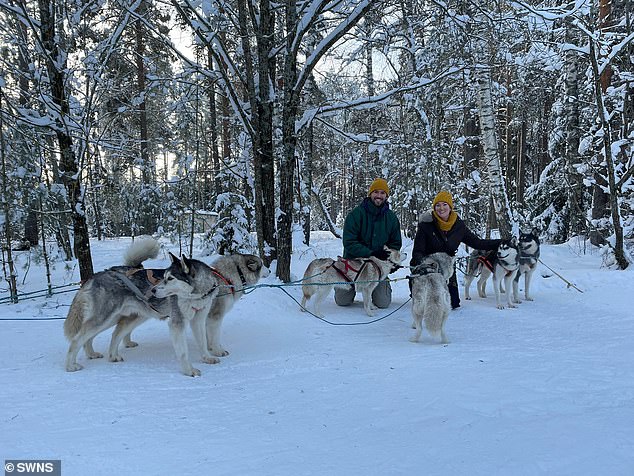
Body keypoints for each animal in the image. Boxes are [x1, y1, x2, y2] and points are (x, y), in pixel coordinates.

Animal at [63, 240, 218, 378]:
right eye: (164, 277)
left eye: (170, 278)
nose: (153, 290)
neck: (196, 295)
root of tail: (95, 276)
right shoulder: (177, 323)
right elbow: (183, 352)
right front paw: (189, 370)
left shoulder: (199, 320)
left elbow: (203, 342)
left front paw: (207, 357)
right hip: (105, 318)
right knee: (78, 339)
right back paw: (71, 366)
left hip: (120, 318)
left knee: (110, 334)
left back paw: (104, 355)